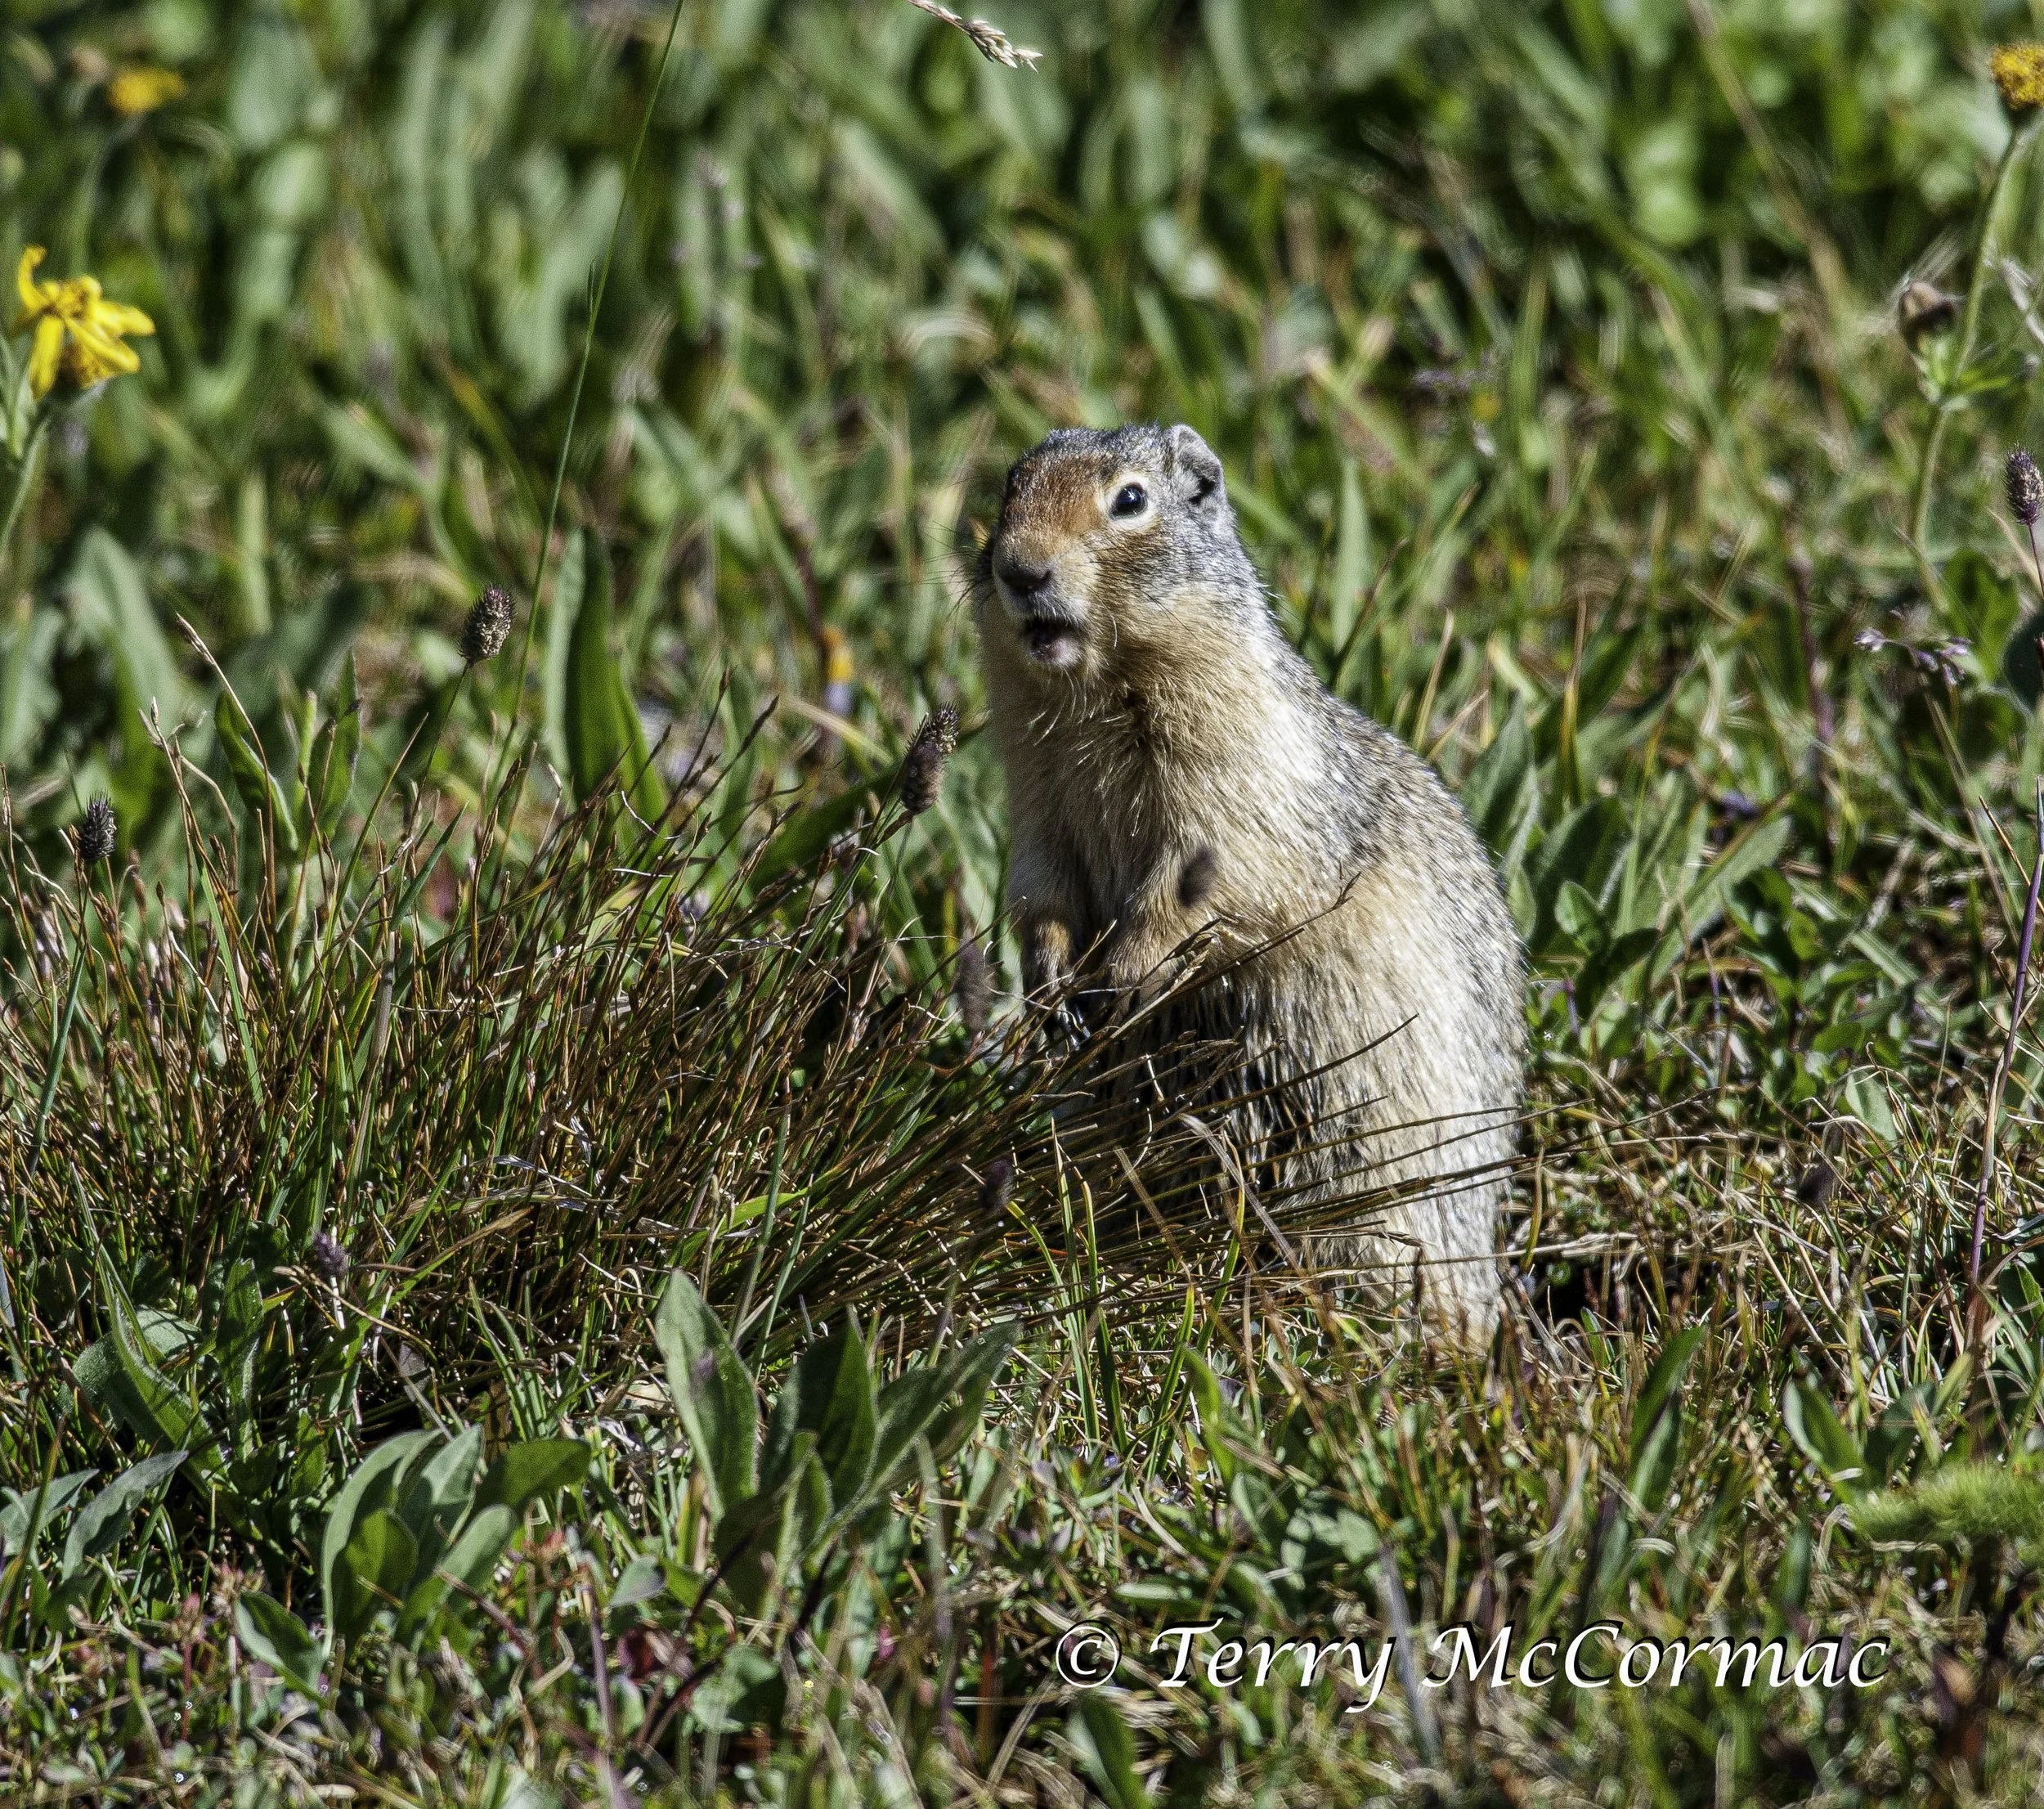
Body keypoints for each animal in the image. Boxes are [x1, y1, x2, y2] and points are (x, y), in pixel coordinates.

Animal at [974, 423, 1525, 1342]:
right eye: (1008, 488)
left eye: (1130, 499)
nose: (1018, 568)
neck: (1094, 695)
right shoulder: (1036, 796)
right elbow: (1039, 887)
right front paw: (1050, 983)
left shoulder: (1234, 775)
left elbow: (1203, 883)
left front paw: (1125, 975)